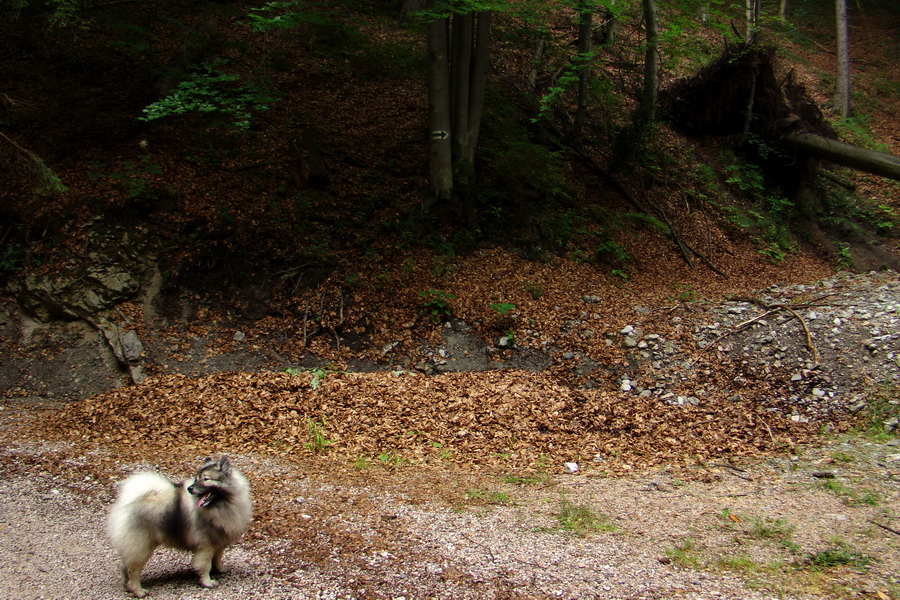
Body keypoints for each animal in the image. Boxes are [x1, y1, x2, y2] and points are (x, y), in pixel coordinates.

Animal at [108, 458, 253, 596]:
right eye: (197, 479)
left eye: (205, 479)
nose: (190, 488)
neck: (223, 504)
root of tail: (127, 504)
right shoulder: (206, 546)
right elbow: (205, 565)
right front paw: (207, 582)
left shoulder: (218, 541)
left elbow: (217, 558)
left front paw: (220, 569)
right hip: (142, 547)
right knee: (133, 570)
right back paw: (138, 591)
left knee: (125, 567)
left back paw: (127, 587)